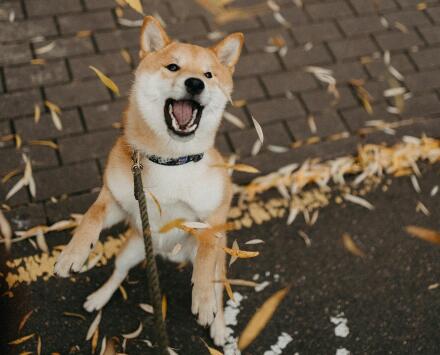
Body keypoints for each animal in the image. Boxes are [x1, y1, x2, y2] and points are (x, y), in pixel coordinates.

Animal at [54, 15, 244, 346]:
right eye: (173, 67)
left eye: (208, 74)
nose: (195, 83)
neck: (171, 160)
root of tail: (167, 253)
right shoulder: (117, 200)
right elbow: (91, 217)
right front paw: (73, 253)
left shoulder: (212, 217)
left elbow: (206, 257)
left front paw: (203, 299)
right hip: (133, 249)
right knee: (118, 272)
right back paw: (99, 297)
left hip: (221, 266)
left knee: (220, 289)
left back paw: (219, 325)